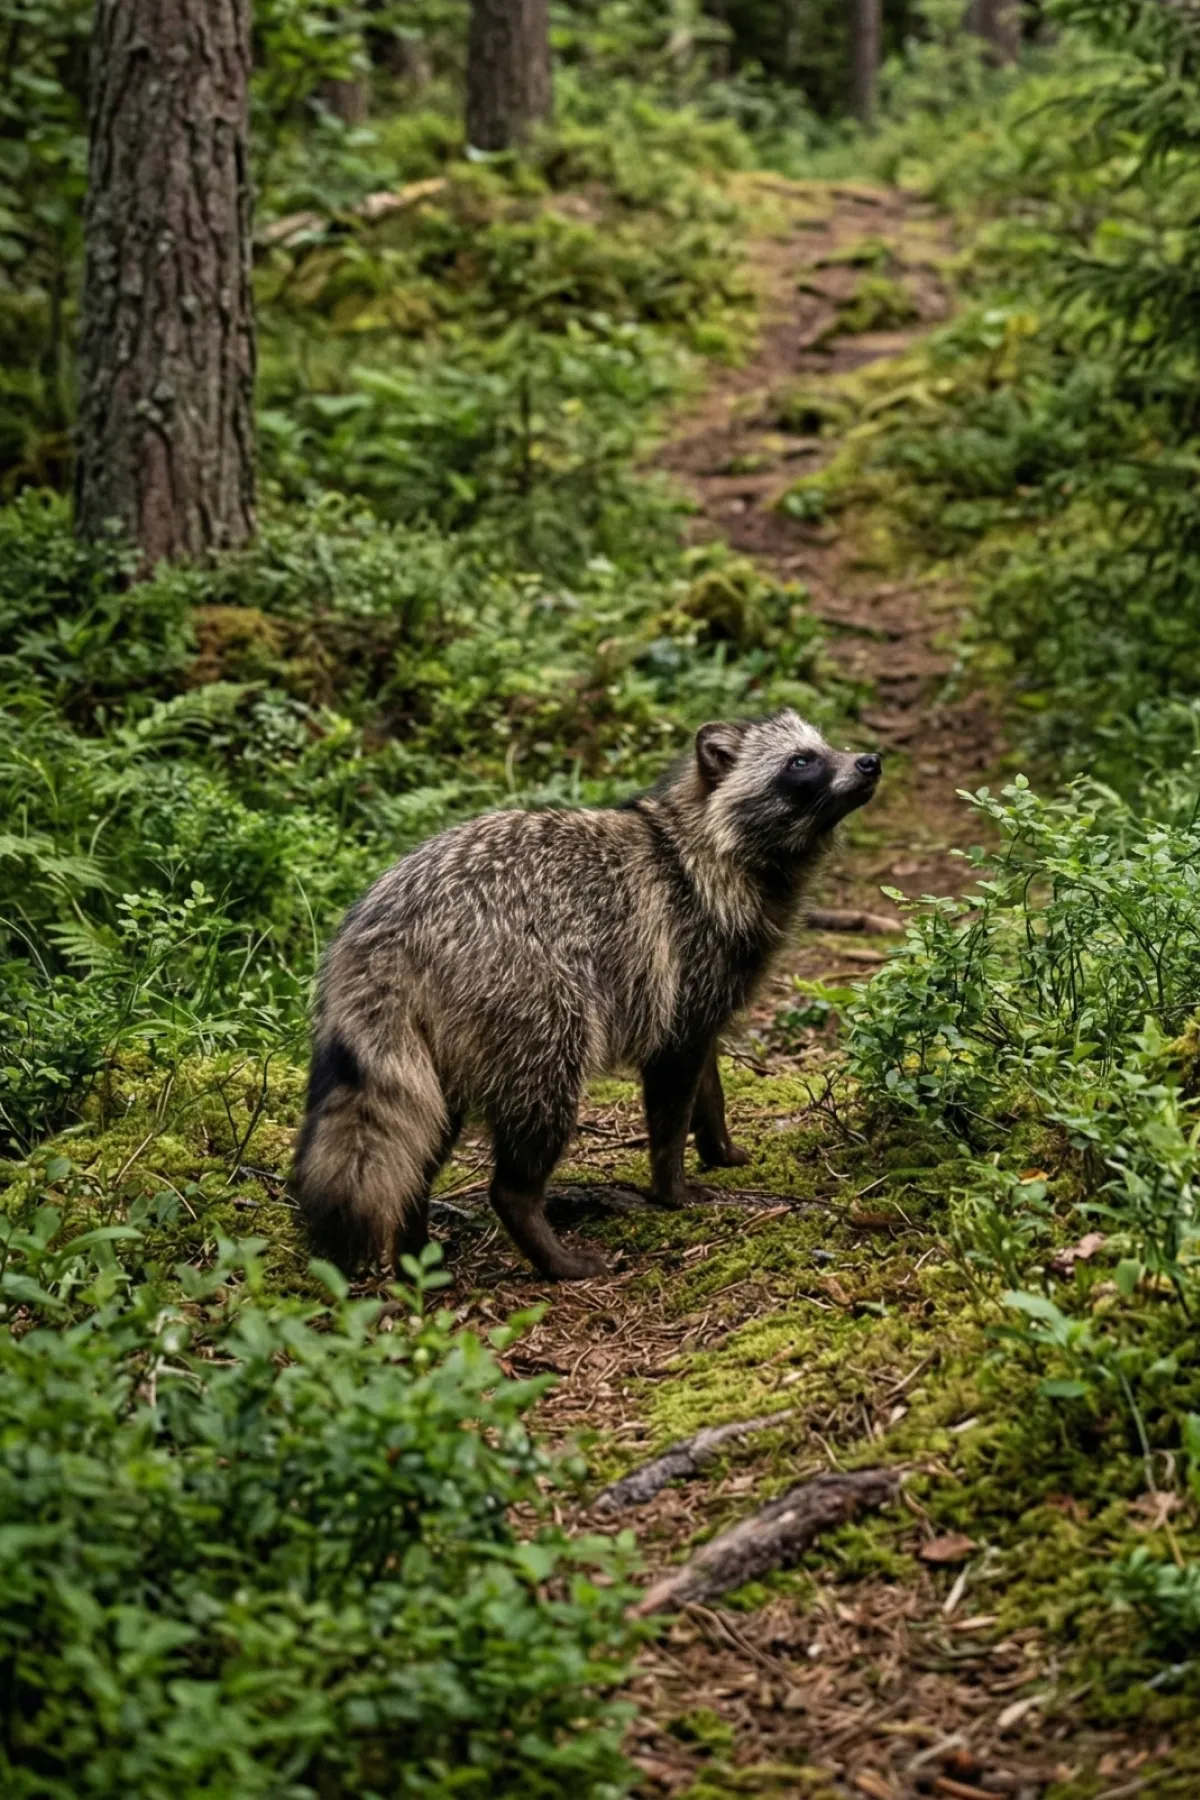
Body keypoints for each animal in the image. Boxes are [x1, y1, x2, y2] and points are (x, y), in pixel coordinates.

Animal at [293, 710, 882, 1281]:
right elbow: (672, 1099)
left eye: (825, 746)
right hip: (533, 1009)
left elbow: (707, 1080)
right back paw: (546, 1246)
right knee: (526, 1136)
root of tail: (389, 925)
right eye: (801, 761)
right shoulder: (682, 967)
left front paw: (720, 1147)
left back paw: (417, 1253)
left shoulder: (704, 991)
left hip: (442, 1046)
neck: (704, 845)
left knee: (420, 1135)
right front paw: (673, 1186)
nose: (870, 760)